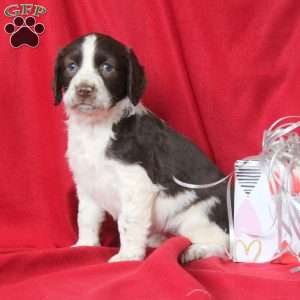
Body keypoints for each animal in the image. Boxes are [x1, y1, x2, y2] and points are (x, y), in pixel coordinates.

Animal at [52, 32, 229, 262]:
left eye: (107, 67)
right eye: (71, 66)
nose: (84, 90)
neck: (96, 128)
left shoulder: (136, 183)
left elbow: (128, 222)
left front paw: (128, 256)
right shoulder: (87, 182)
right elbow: (86, 217)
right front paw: (85, 245)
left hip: (197, 215)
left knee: (224, 244)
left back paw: (195, 251)